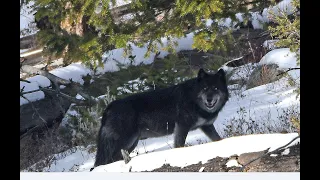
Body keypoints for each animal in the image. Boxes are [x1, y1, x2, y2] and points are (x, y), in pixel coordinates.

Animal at [94, 68, 229, 167]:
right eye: (205, 88)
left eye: (215, 88)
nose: (209, 99)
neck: (193, 100)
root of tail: (109, 107)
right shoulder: (182, 126)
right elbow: (179, 145)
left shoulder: (207, 126)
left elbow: (218, 139)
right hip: (124, 142)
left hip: (131, 144)